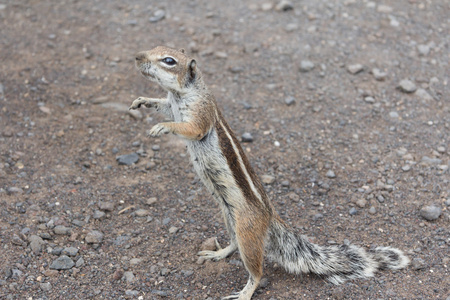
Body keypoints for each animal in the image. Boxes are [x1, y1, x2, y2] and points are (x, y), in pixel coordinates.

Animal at [128, 45, 410, 298]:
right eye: (156, 47)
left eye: (169, 60)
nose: (137, 56)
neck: (181, 94)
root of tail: (270, 216)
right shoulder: (171, 105)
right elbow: (161, 105)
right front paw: (141, 101)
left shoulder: (200, 114)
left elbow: (190, 129)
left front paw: (162, 127)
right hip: (228, 218)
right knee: (233, 244)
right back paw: (218, 253)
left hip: (247, 231)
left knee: (257, 269)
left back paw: (245, 292)